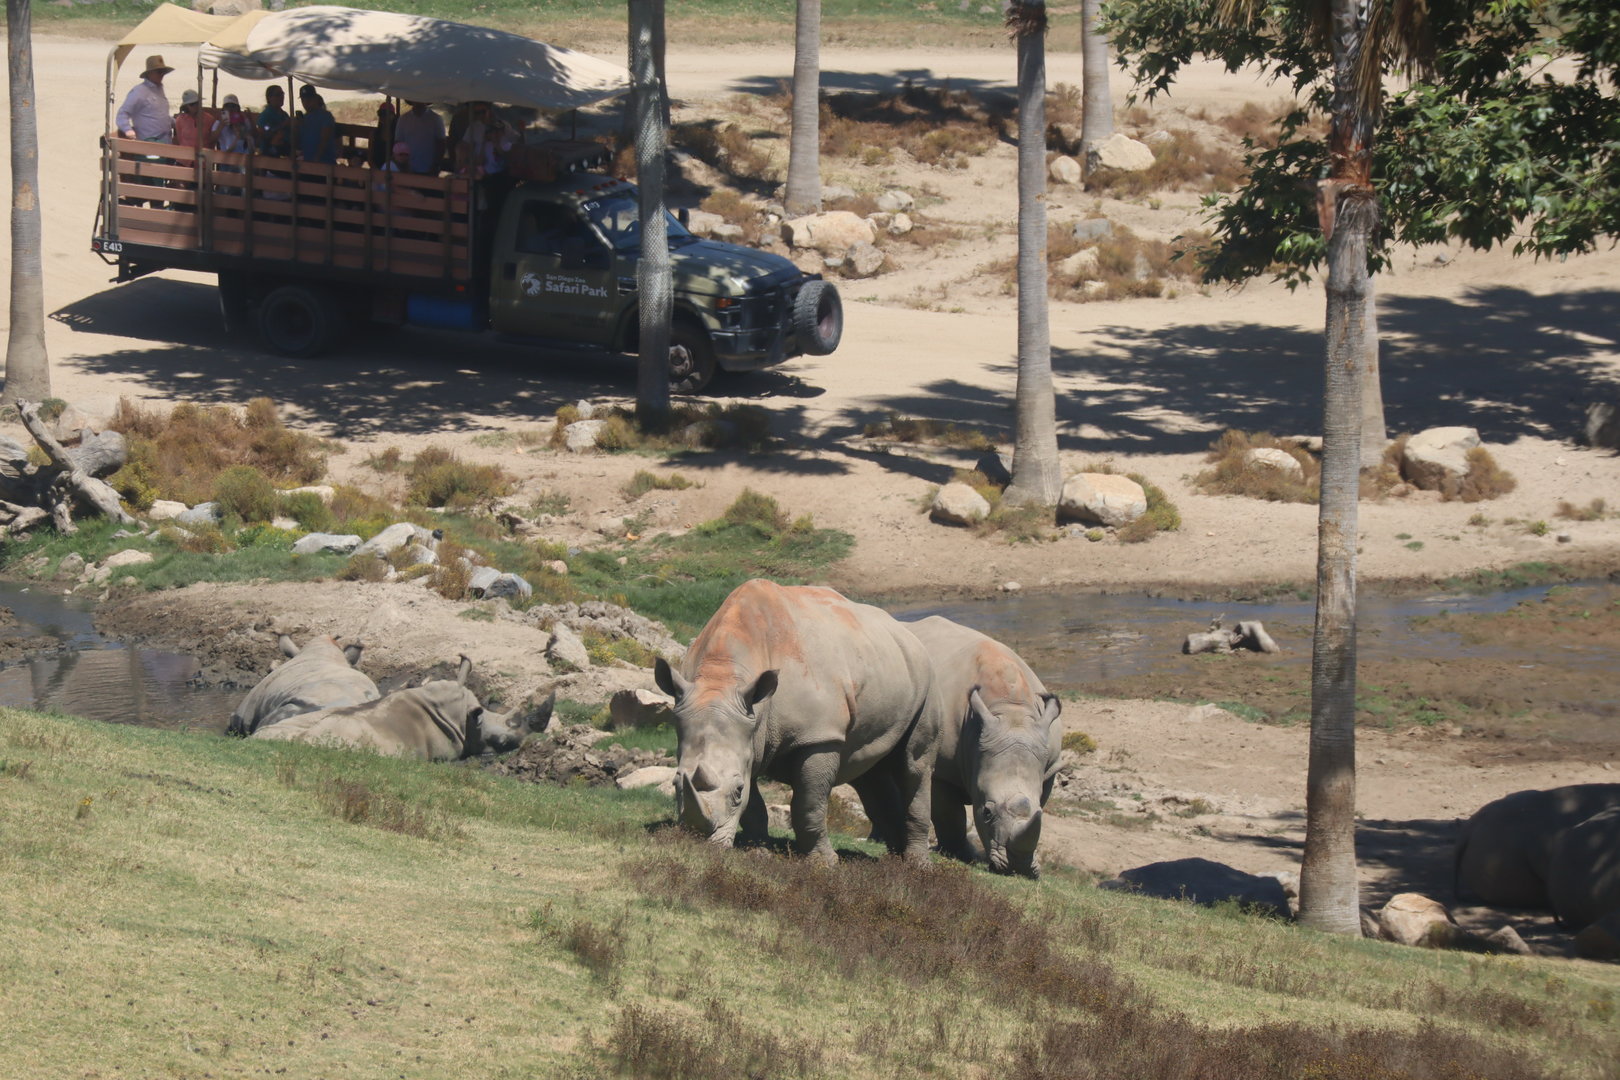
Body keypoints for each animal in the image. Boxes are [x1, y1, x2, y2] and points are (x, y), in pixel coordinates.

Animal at [653, 579, 936, 864]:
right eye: (675, 784)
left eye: (737, 790)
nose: (699, 844)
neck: (722, 677)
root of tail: (904, 630)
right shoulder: (749, 735)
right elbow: (754, 806)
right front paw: (758, 851)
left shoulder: (819, 735)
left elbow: (808, 804)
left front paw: (824, 862)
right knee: (870, 769)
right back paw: (894, 860)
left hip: (925, 679)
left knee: (914, 764)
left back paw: (916, 865)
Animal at [905, 616, 1062, 877]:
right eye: (986, 813)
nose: (1018, 869)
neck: (1010, 709)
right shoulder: (942, 769)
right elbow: (950, 815)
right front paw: (962, 855)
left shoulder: (1050, 766)